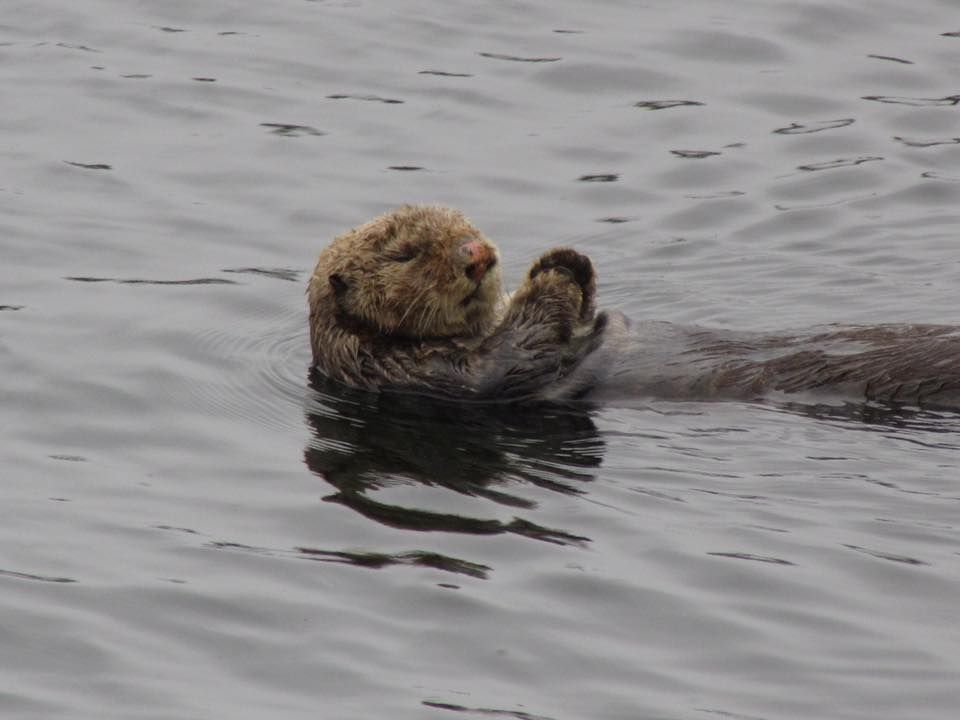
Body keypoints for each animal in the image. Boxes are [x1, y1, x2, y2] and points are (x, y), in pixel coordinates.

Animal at [308, 205, 960, 409]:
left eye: (467, 224)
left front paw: (568, 262)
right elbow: (512, 362)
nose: (479, 254)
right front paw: (557, 276)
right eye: (406, 252)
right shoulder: (427, 375)